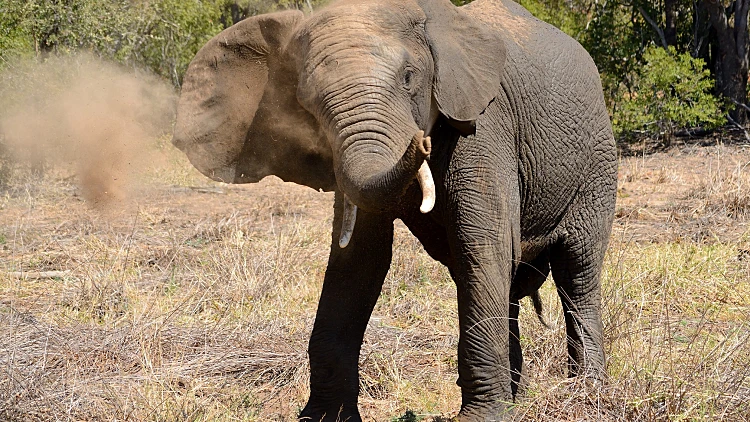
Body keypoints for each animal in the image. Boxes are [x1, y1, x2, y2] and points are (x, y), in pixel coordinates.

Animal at [173, 0, 620, 418]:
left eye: (409, 77)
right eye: (306, 102)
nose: (419, 142)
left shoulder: (485, 124)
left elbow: (483, 244)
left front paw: (483, 419)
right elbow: (359, 261)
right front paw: (322, 418)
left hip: (598, 163)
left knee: (576, 271)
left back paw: (587, 397)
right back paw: (520, 398)